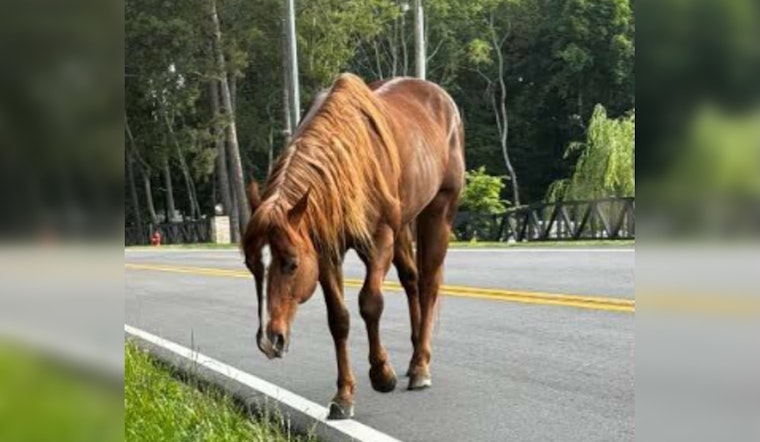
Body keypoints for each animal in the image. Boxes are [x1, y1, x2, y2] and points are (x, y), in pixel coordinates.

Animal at [242, 73, 464, 419]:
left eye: (291, 264)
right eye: (251, 265)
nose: (269, 340)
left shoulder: (379, 238)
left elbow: (370, 302)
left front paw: (381, 374)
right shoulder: (324, 252)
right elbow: (339, 319)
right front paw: (344, 395)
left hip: (439, 210)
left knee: (428, 283)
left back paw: (420, 367)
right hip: (404, 222)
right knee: (411, 279)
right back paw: (416, 353)